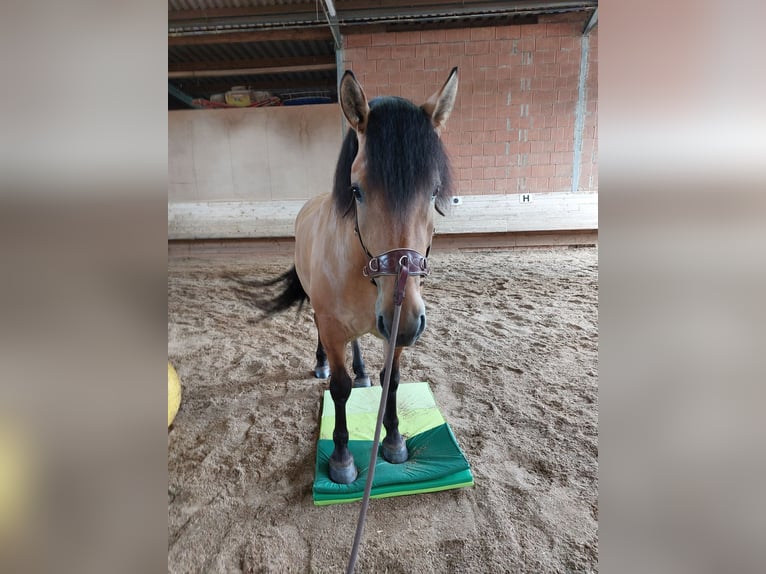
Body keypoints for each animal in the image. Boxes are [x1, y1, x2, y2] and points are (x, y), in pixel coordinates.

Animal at [237, 68, 458, 484]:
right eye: (356, 191)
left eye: (435, 190)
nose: (405, 320)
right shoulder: (333, 325)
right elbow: (339, 390)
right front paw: (341, 459)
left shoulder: (395, 331)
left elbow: (393, 382)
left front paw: (394, 441)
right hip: (322, 314)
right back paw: (323, 363)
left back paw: (362, 371)